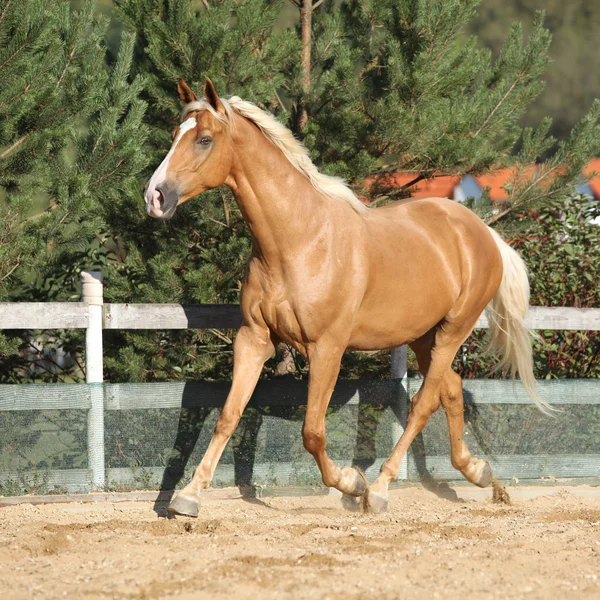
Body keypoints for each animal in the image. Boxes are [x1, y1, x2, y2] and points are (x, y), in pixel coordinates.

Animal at [145, 75, 548, 516]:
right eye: (174, 135)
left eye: (204, 139)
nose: (155, 196)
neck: (299, 240)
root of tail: (483, 232)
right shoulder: (253, 339)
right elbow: (229, 416)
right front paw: (187, 497)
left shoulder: (327, 349)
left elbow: (312, 432)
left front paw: (351, 482)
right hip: (424, 336)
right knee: (452, 391)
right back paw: (480, 473)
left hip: (452, 332)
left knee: (423, 404)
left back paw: (380, 489)